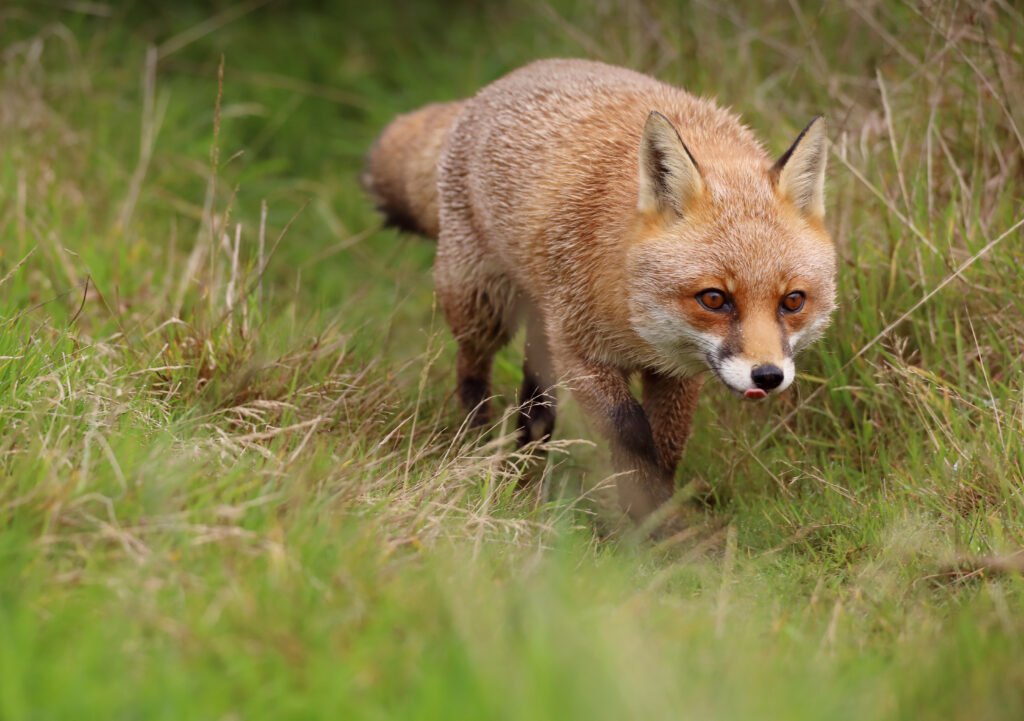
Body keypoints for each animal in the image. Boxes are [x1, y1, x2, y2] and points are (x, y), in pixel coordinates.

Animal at [363, 58, 836, 523]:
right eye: (714, 299)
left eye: (793, 301)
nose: (768, 376)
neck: (635, 317)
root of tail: (513, 75)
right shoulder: (579, 350)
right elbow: (633, 436)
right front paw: (646, 520)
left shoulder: (679, 371)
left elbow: (668, 445)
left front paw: (659, 522)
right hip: (482, 305)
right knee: (471, 372)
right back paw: (480, 446)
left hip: (541, 325)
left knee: (535, 405)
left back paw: (526, 473)